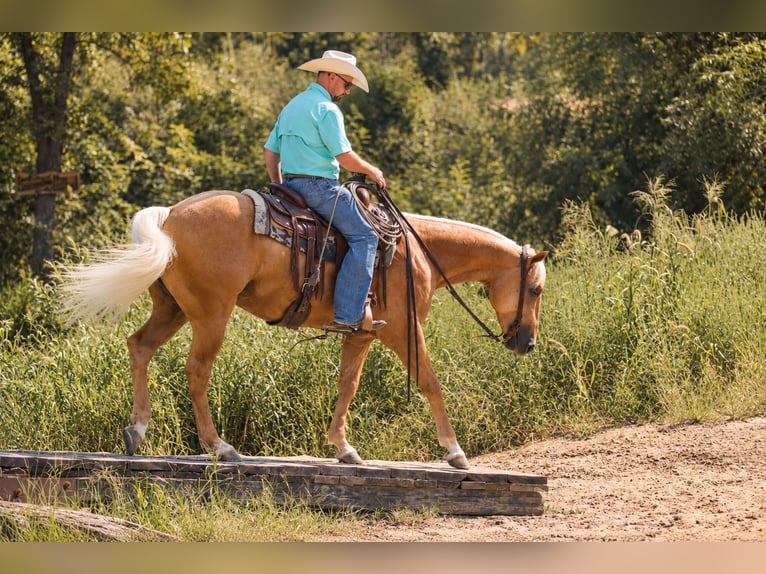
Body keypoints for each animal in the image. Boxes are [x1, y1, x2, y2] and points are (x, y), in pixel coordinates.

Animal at [60, 189, 548, 470]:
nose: (527, 343)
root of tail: (169, 217)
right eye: (537, 288)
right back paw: (220, 447)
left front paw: (344, 448)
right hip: (211, 314)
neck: (418, 252)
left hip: (173, 308)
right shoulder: (404, 329)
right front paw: (455, 452)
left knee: (139, 347)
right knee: (197, 371)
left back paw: (137, 431)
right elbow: (430, 382)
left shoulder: (362, 333)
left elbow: (347, 385)